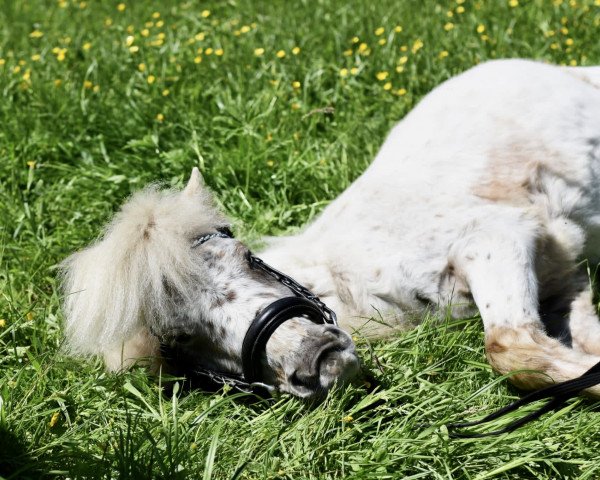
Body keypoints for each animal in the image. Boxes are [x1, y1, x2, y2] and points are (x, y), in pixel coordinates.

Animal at [62, 58, 600, 400]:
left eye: (246, 256)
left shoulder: (497, 238)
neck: (352, 279)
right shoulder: (561, 275)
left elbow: (512, 348)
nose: (315, 357)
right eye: (180, 339)